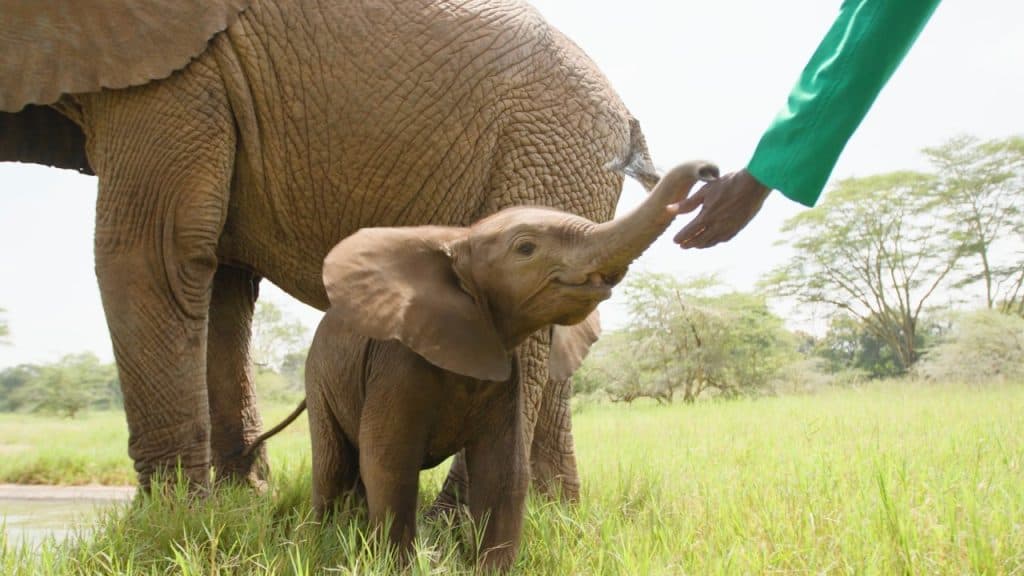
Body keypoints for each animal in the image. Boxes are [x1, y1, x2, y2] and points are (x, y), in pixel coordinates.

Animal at [0, 0, 664, 495]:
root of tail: (627, 118)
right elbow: (219, 278)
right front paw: (238, 508)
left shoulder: (180, 73)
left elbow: (151, 254)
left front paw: (168, 526)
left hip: (549, 151)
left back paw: (454, 530)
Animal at [247, 161, 716, 570]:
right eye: (525, 248)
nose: (708, 172)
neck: (460, 243)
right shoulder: (398, 365)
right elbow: (389, 463)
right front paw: (397, 567)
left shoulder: (505, 373)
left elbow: (502, 470)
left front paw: (491, 570)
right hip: (318, 377)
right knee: (333, 465)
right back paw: (321, 540)